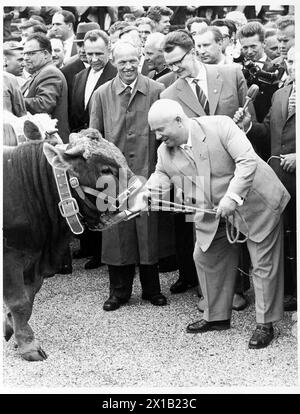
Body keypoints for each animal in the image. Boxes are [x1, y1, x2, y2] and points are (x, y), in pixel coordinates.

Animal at [3, 124, 142, 360]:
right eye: (105, 170)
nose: (144, 195)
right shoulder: (10, 257)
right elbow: (19, 301)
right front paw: (28, 345)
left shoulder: (33, 259)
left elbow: (29, 297)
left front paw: (10, 326)